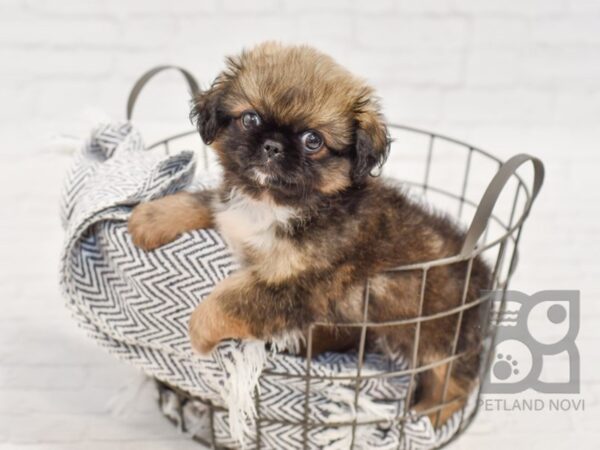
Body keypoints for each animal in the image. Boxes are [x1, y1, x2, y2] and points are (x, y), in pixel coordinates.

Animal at [129, 42, 490, 426]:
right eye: (250, 119)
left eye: (312, 140)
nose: (272, 145)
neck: (273, 204)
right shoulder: (232, 215)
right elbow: (204, 201)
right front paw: (151, 217)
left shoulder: (296, 287)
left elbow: (226, 300)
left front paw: (197, 333)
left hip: (438, 340)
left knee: (452, 387)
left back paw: (425, 419)